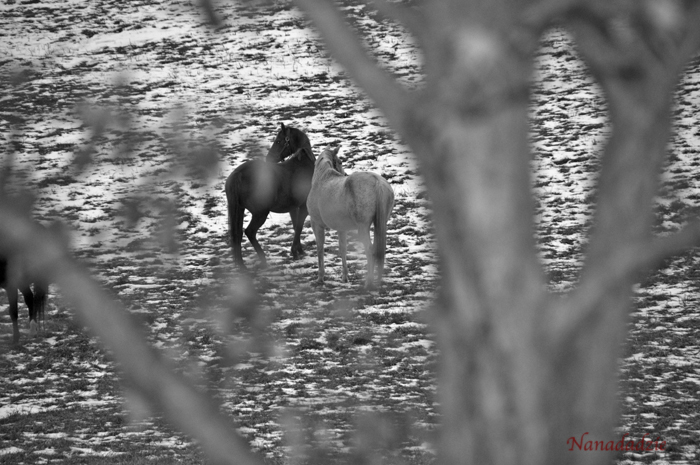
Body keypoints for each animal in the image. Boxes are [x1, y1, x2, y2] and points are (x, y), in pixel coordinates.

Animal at [225, 124, 315, 269]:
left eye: (278, 141)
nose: (269, 159)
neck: (303, 164)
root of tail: (238, 174)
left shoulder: (293, 208)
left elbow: (296, 226)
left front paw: (298, 250)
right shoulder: (303, 207)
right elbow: (299, 226)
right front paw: (296, 251)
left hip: (239, 209)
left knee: (237, 235)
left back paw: (242, 266)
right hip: (260, 213)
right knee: (249, 232)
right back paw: (263, 260)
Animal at [306, 147, 394, 288]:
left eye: (340, 162)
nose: (344, 173)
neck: (322, 179)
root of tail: (377, 181)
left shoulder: (317, 225)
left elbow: (320, 248)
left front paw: (320, 278)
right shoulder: (341, 229)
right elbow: (343, 249)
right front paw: (345, 277)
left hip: (363, 229)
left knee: (370, 250)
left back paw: (369, 282)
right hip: (380, 225)